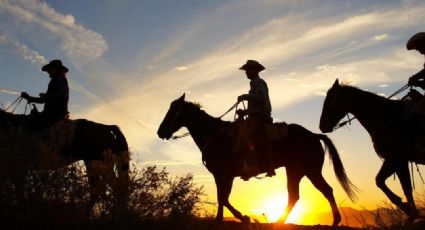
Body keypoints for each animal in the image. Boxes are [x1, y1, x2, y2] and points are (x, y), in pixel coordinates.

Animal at [0, 108, 129, 211]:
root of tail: (107, 128)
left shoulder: (18, 167)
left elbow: (19, 191)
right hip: (93, 165)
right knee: (98, 190)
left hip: (100, 165)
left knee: (114, 188)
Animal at [157, 93, 356, 225]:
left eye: (173, 110)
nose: (160, 132)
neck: (214, 134)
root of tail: (314, 135)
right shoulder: (221, 176)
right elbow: (222, 199)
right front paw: (224, 219)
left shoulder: (225, 175)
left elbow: (223, 198)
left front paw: (242, 217)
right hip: (304, 171)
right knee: (315, 192)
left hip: (303, 170)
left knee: (307, 193)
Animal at [320, 79, 420, 221]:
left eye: (330, 102)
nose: (321, 125)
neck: (386, 117)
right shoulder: (393, 161)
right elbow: (380, 181)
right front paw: (407, 209)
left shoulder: (397, 159)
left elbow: (405, 187)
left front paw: (410, 211)